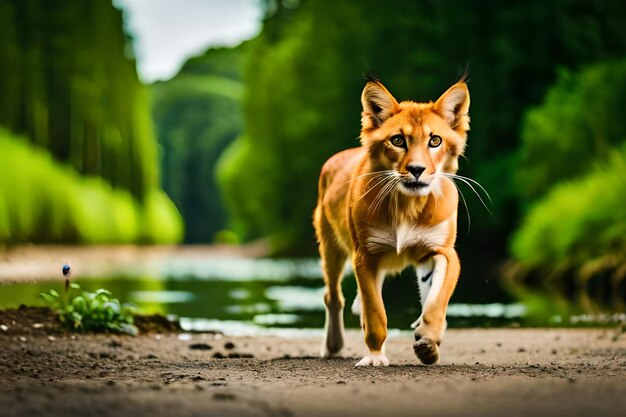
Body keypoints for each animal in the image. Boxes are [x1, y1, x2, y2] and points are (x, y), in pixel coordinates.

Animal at [312, 74, 468, 364]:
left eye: (435, 141)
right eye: (398, 140)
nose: (417, 170)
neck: (407, 204)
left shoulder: (442, 251)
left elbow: (436, 300)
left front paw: (428, 340)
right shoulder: (365, 255)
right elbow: (375, 313)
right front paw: (375, 356)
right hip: (331, 248)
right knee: (333, 297)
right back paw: (333, 345)